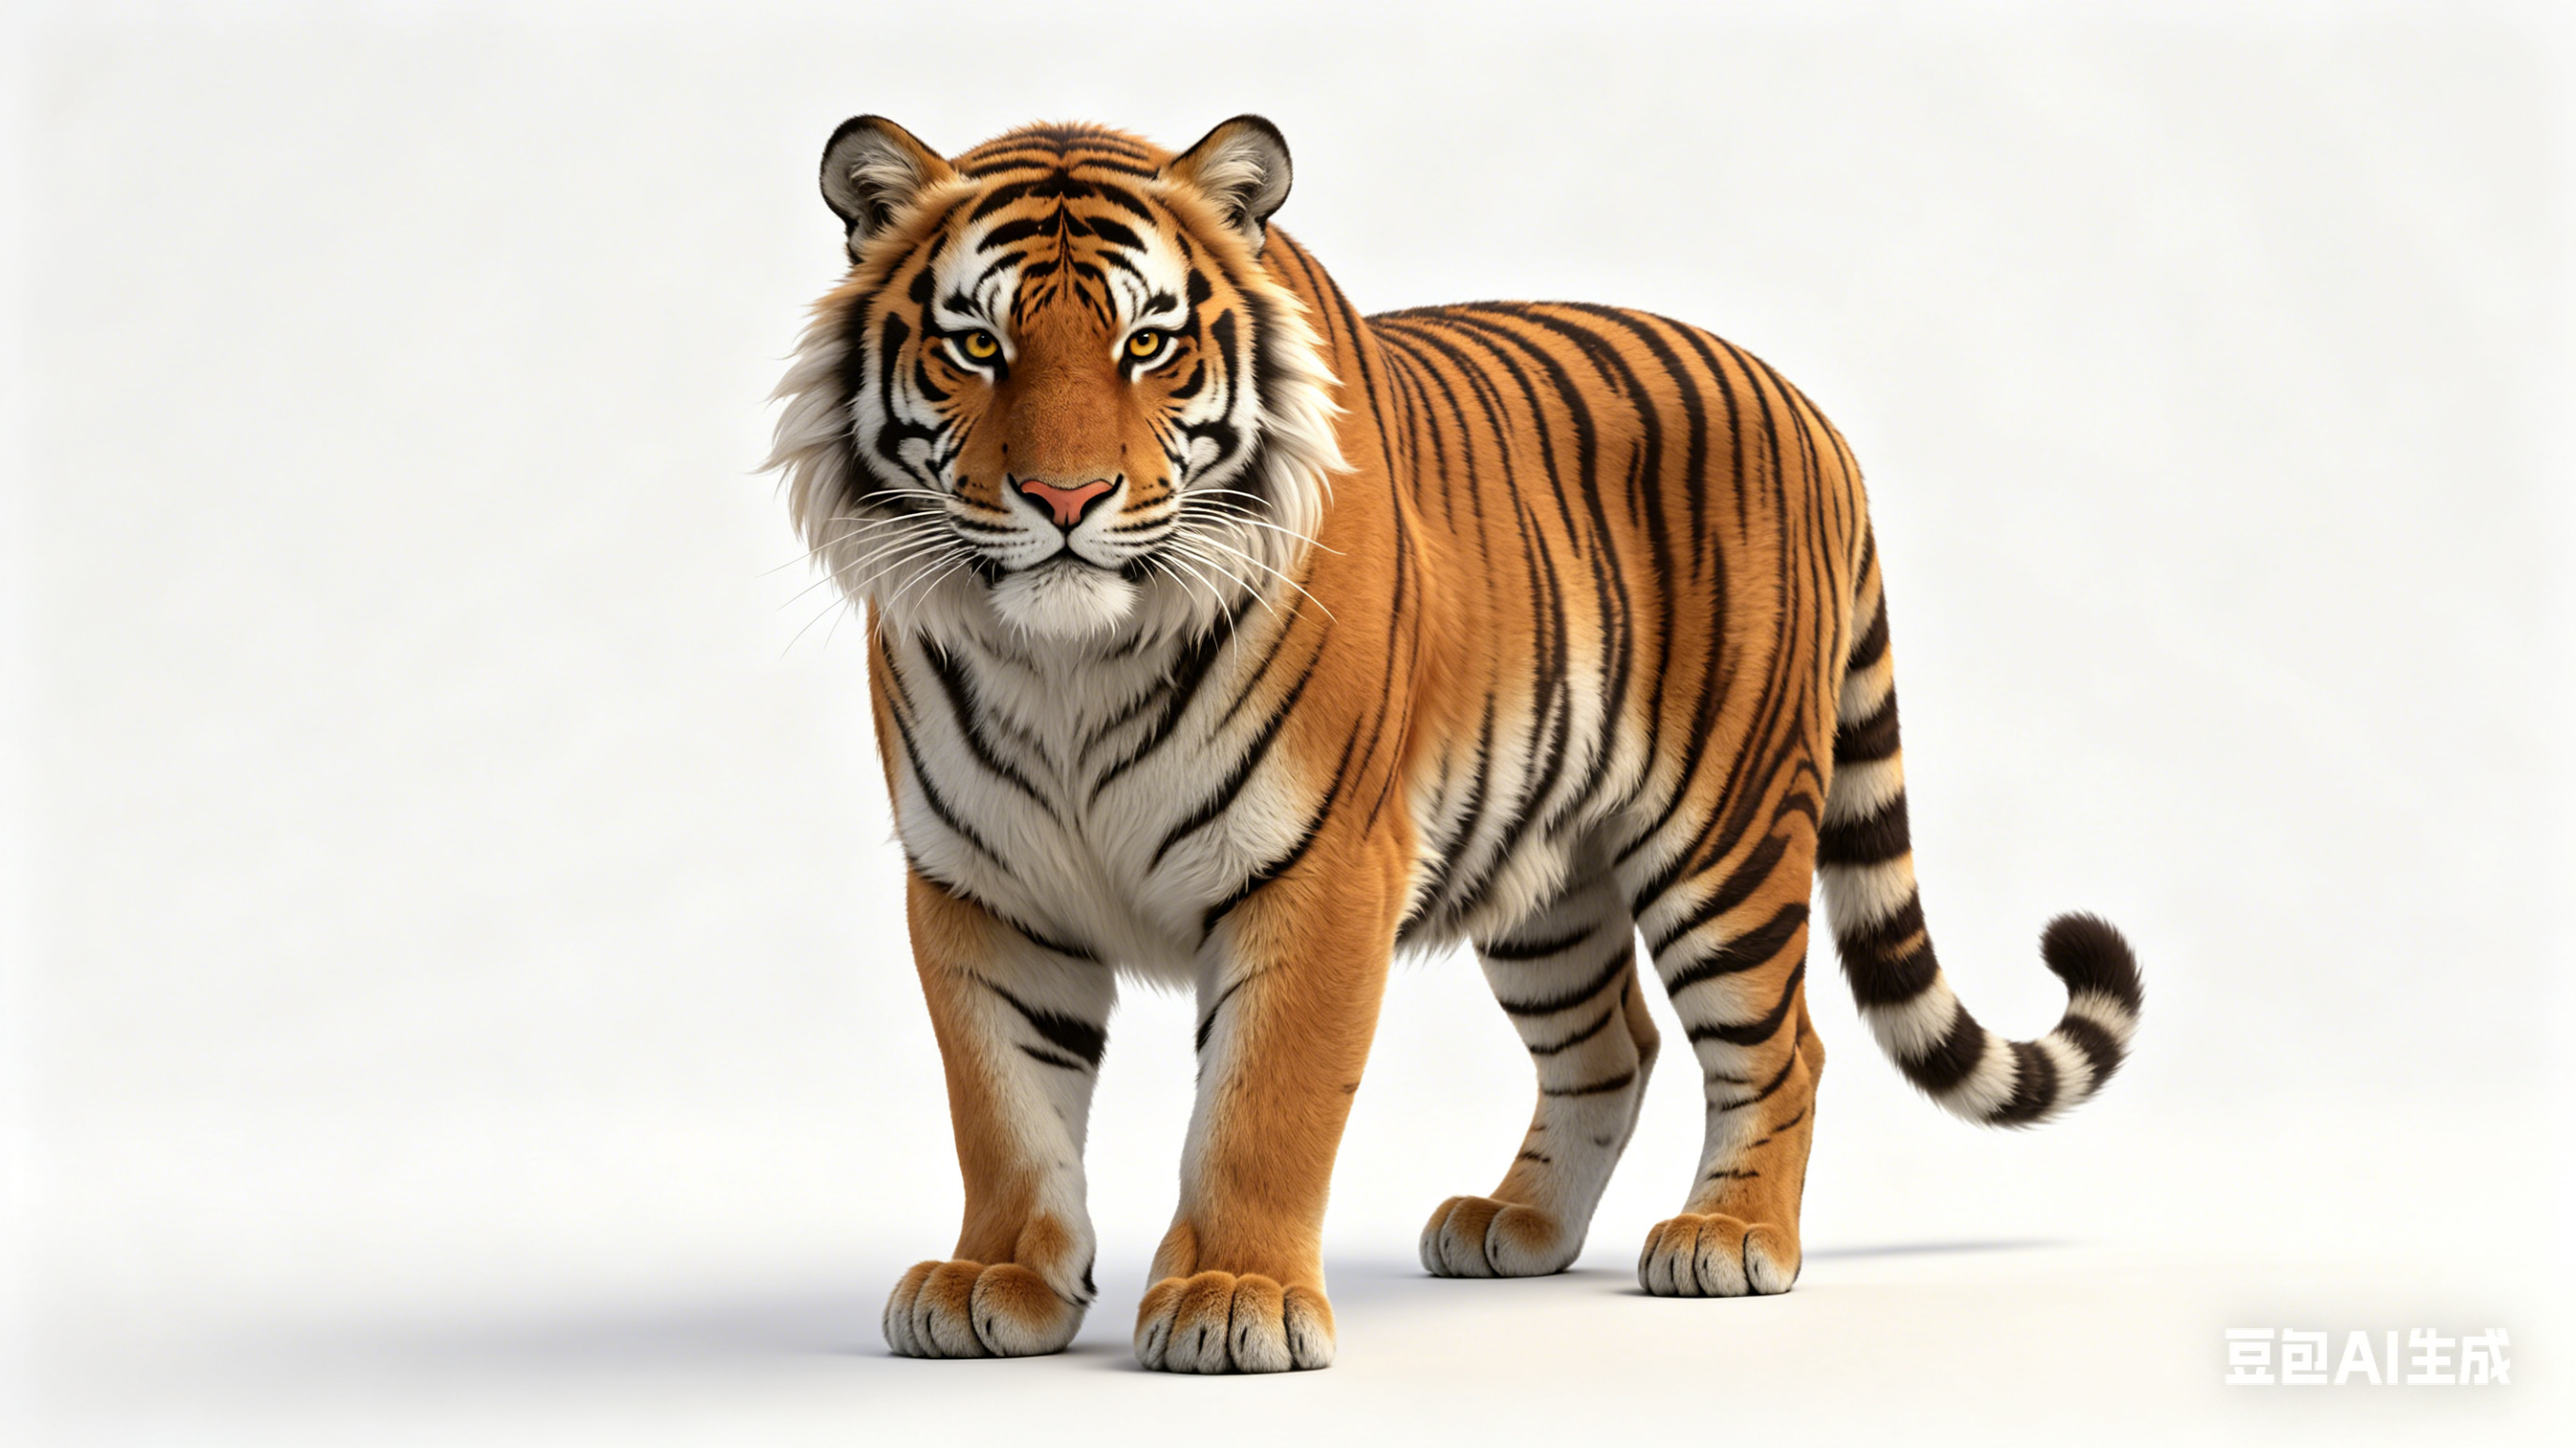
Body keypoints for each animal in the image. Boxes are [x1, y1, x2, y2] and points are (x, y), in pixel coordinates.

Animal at [767, 114, 2142, 1375]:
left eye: (1145, 342)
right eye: (977, 345)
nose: (1064, 500)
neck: (1067, 666)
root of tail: (1806, 408)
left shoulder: (1321, 866)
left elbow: (1263, 1104)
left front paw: (1234, 1296)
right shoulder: (979, 883)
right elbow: (1004, 1107)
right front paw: (997, 1280)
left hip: (1728, 831)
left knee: (1778, 1041)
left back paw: (1729, 1235)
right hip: (1546, 873)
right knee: (1612, 1045)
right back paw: (1517, 1225)